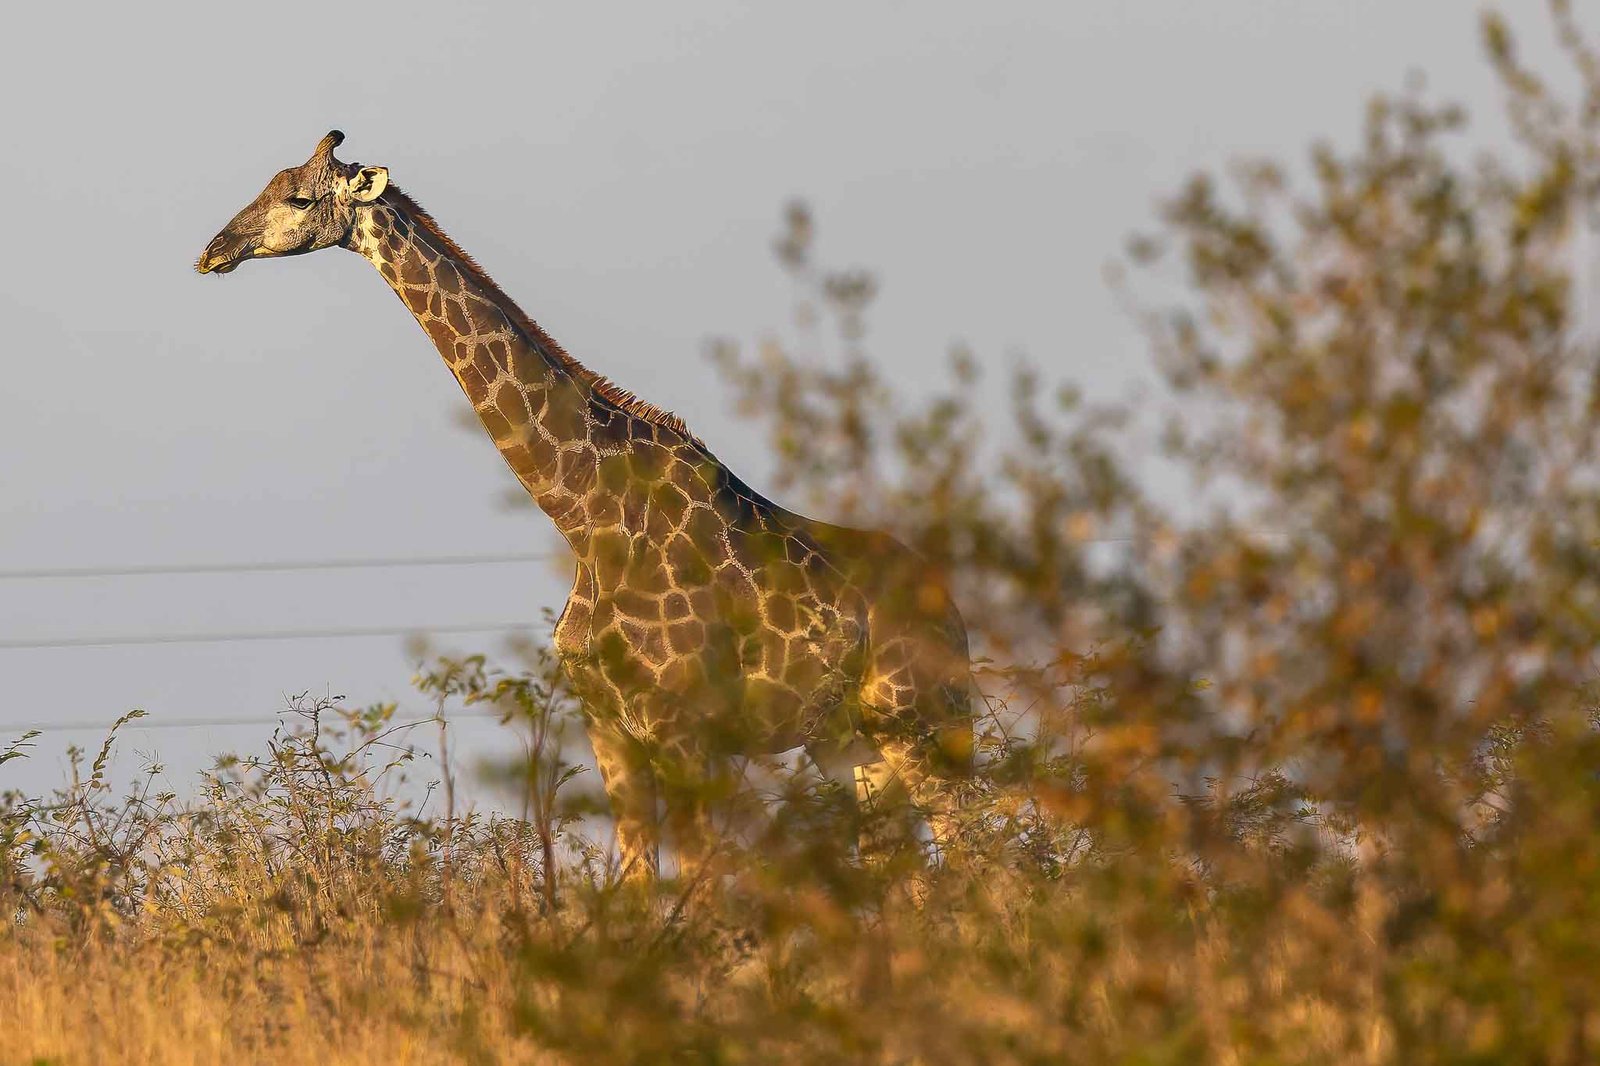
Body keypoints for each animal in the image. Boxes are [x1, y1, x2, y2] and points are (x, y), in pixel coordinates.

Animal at [197, 131, 972, 878]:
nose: (213, 250)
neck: (583, 517)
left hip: (920, 719)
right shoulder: (610, 730)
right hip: (848, 742)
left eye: (299, 198)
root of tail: (955, 610)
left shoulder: (683, 730)